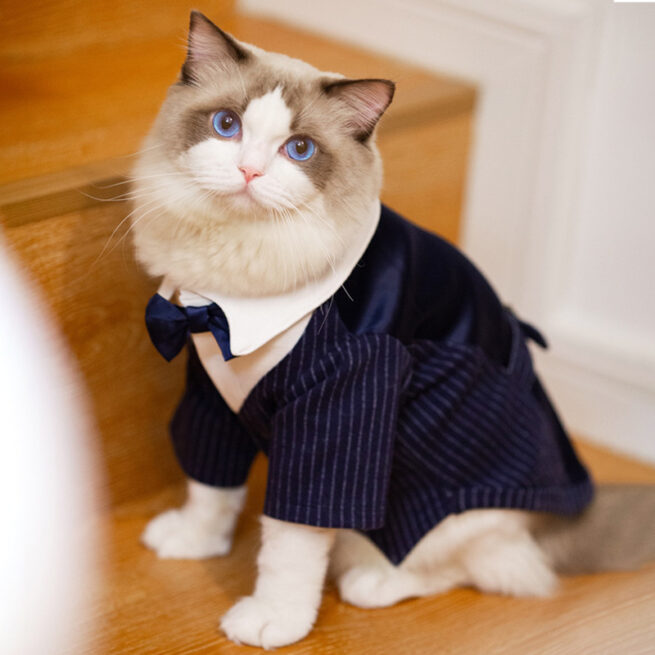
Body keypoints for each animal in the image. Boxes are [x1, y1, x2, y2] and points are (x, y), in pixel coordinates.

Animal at [133, 11, 655, 652]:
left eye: (299, 150)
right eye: (226, 126)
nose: (249, 170)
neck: (234, 290)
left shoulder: (337, 418)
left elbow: (291, 542)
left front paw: (273, 620)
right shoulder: (210, 385)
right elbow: (210, 487)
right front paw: (192, 541)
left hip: (450, 501)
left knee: (486, 565)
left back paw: (373, 580)